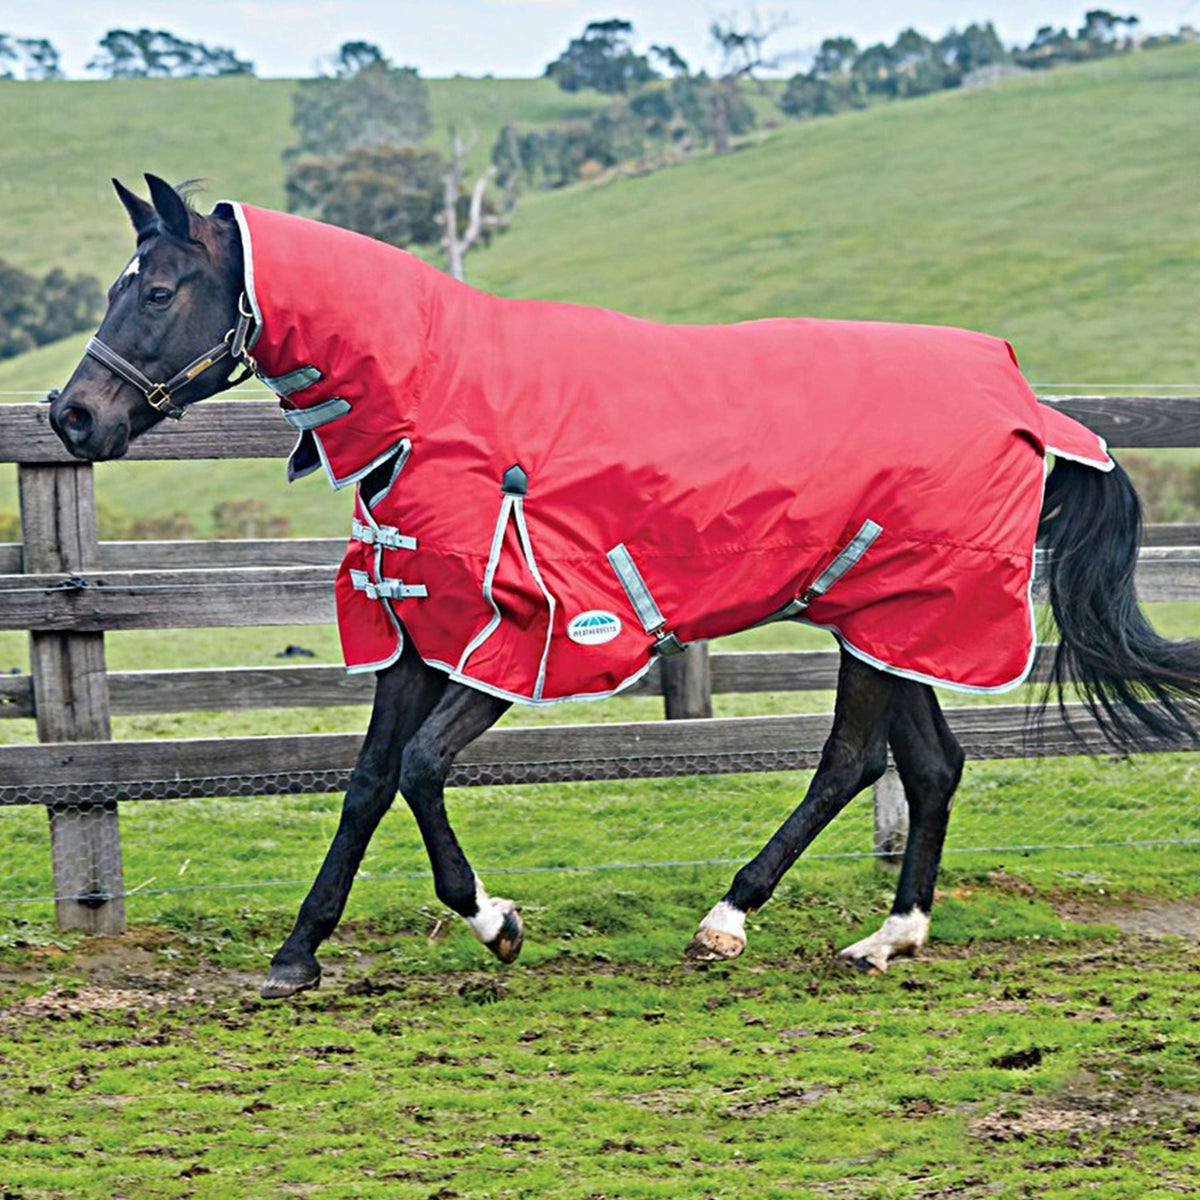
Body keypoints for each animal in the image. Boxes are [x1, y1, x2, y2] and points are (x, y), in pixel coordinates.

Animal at [46, 180, 1200, 1003]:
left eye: (157, 291)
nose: (72, 417)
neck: (437, 399)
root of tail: (1027, 402)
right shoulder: (417, 631)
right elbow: (369, 781)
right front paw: (297, 954)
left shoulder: (523, 641)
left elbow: (420, 770)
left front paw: (497, 924)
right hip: (886, 621)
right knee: (930, 765)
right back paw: (889, 936)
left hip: (895, 621)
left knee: (849, 761)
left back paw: (729, 921)